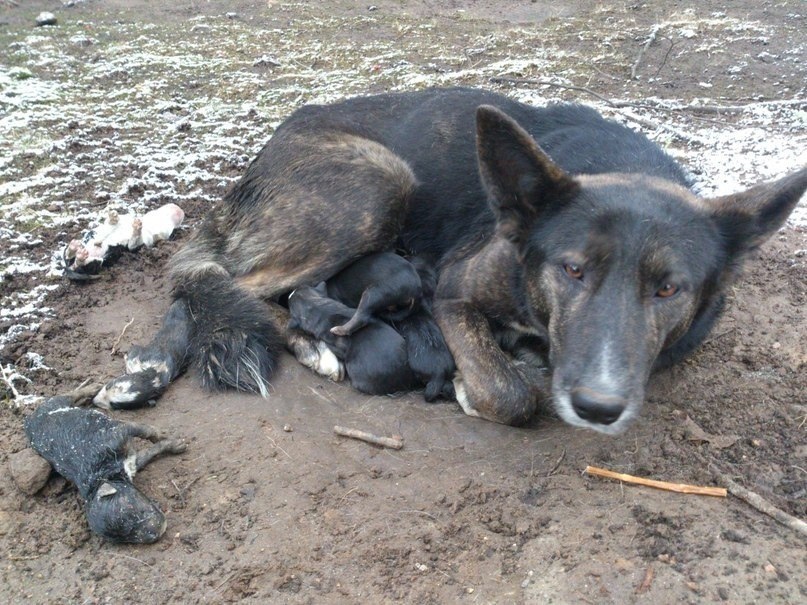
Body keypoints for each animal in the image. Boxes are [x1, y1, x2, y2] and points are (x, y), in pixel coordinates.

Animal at [102, 86, 807, 434]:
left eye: (668, 290)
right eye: (572, 269)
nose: (600, 408)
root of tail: (268, 147)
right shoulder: (453, 290)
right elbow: (512, 396)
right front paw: (480, 387)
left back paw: (148, 372)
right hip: (380, 181)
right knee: (226, 281)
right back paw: (307, 346)